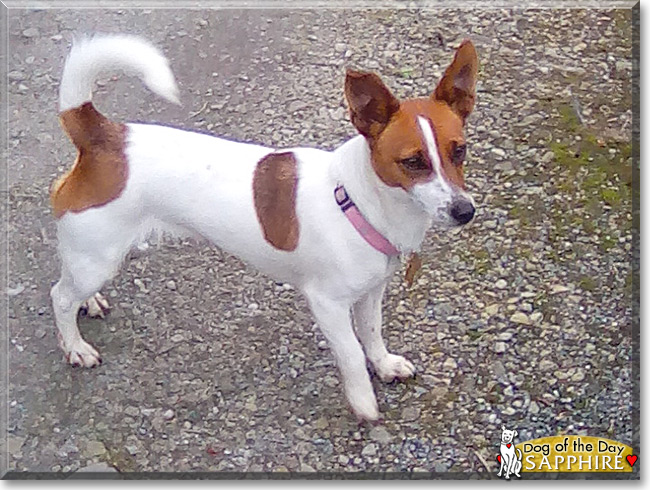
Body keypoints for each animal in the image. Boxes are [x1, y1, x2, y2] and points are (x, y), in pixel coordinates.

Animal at [50, 33, 476, 422]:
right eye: (413, 162)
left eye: (460, 151)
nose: (465, 211)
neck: (357, 200)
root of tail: (105, 135)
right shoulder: (328, 304)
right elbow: (352, 353)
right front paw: (363, 403)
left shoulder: (371, 293)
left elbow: (371, 334)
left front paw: (384, 365)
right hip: (97, 257)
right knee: (60, 297)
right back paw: (76, 347)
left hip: (93, 256)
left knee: (69, 281)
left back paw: (90, 302)